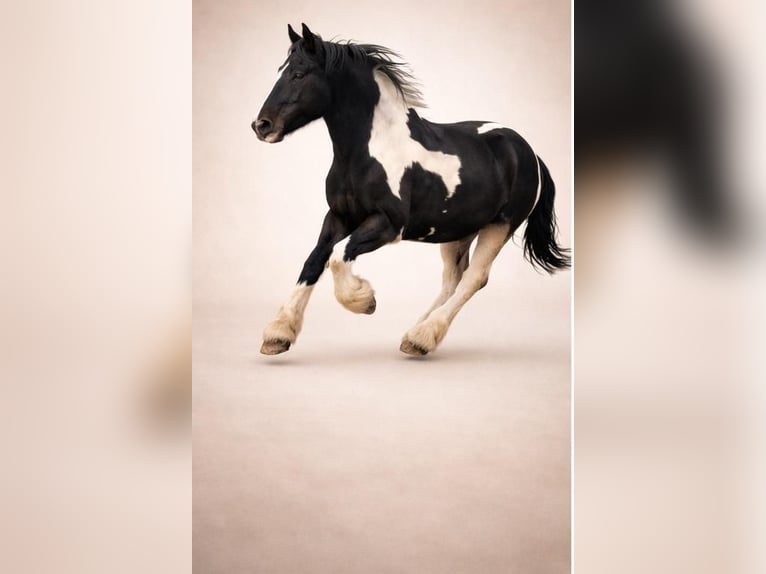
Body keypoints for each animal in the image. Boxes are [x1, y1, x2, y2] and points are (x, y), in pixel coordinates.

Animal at [252, 23, 570, 356]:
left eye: (299, 73)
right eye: (281, 70)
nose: (261, 125)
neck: (366, 152)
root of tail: (529, 152)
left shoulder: (389, 224)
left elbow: (338, 256)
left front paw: (364, 300)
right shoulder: (338, 216)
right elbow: (314, 260)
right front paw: (277, 334)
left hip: (500, 225)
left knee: (474, 278)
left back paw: (422, 335)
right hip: (458, 230)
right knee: (453, 279)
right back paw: (415, 337)